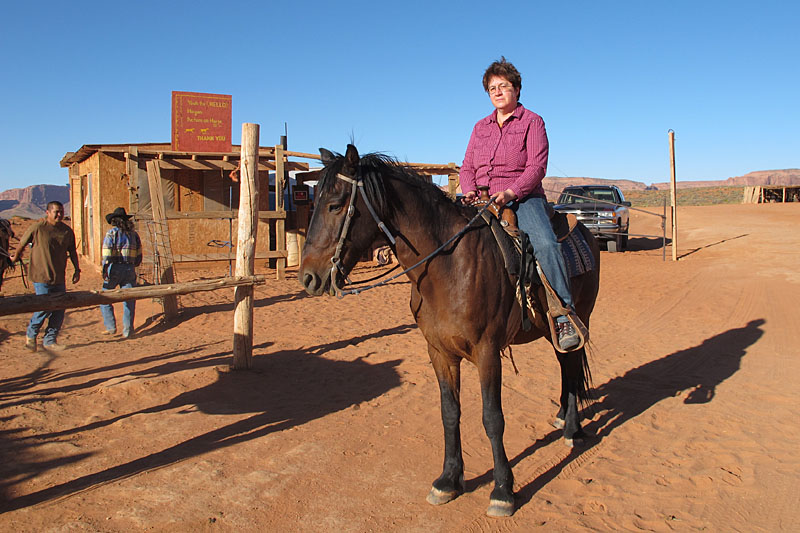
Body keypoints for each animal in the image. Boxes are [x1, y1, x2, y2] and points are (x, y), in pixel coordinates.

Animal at [300, 144, 600, 516]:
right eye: (314, 202)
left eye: (336, 204)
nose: (308, 278)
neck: (448, 266)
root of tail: (584, 230)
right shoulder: (439, 352)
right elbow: (449, 413)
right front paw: (448, 480)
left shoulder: (488, 352)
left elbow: (492, 418)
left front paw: (503, 490)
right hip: (548, 328)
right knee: (564, 365)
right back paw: (562, 417)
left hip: (577, 317)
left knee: (571, 364)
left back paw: (573, 429)